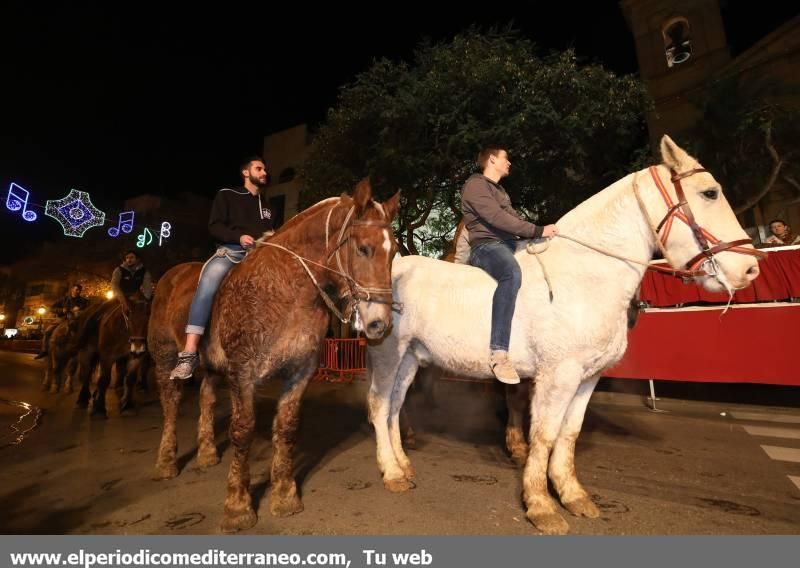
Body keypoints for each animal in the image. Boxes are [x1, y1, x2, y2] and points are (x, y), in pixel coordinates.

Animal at [148, 182, 398, 532]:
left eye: (395, 250)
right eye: (363, 248)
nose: (380, 323)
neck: (286, 288)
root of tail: (170, 276)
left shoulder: (300, 371)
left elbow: (287, 427)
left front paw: (284, 495)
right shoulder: (243, 373)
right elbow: (242, 430)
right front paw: (238, 506)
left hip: (211, 366)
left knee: (206, 398)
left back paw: (208, 453)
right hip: (165, 356)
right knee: (170, 402)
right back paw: (166, 461)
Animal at [366, 135, 760, 536]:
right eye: (710, 193)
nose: (750, 268)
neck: (583, 275)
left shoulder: (587, 377)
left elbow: (569, 434)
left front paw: (573, 495)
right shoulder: (558, 375)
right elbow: (544, 434)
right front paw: (541, 506)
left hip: (410, 357)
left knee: (395, 406)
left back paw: (403, 464)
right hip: (387, 353)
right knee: (379, 405)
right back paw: (392, 473)